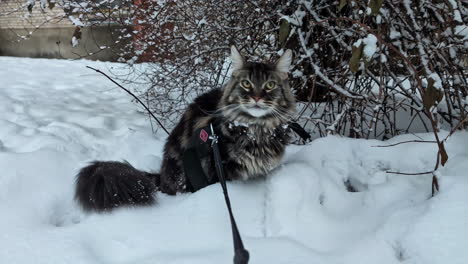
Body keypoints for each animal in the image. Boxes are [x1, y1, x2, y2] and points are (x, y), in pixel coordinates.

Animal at [77, 46, 296, 212]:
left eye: (270, 85)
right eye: (246, 83)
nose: (257, 97)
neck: (256, 129)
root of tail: (162, 174)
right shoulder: (220, 170)